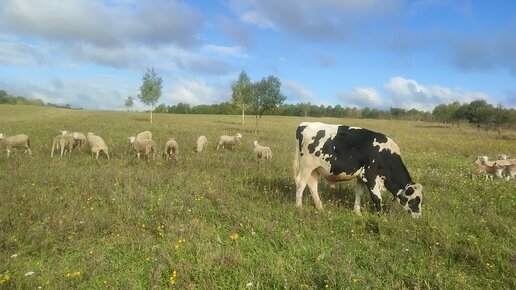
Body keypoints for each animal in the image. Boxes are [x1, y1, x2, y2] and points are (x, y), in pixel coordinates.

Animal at [294, 122, 424, 218]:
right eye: (412, 201)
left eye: (420, 200)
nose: (418, 216)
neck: (385, 154)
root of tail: (305, 124)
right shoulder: (370, 176)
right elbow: (377, 198)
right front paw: (381, 217)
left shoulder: (361, 176)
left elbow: (359, 193)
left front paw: (357, 212)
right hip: (306, 166)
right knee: (301, 183)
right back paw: (299, 206)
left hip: (314, 169)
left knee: (312, 186)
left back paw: (320, 207)